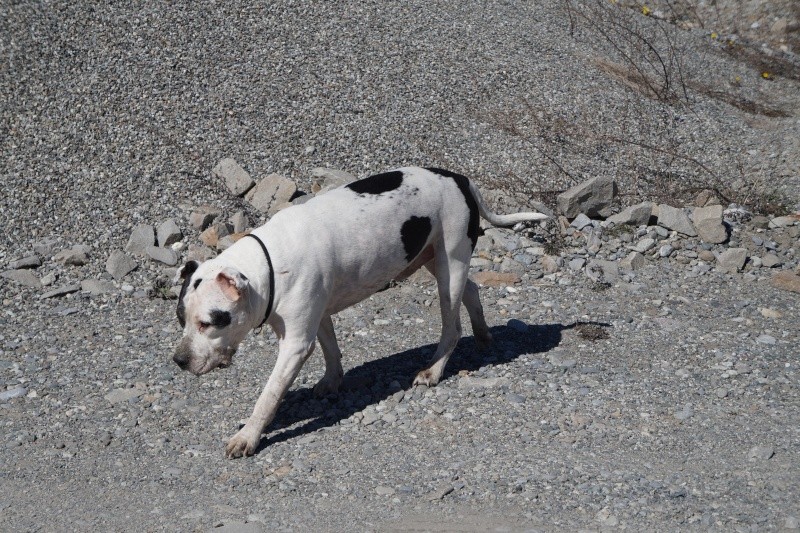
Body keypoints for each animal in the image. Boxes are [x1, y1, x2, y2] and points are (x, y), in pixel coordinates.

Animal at [172, 167, 548, 458]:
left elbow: (268, 396)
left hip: (449, 266)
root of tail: (459, 178)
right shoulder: (318, 315)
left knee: (452, 327)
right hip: (438, 263)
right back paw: (483, 336)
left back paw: (433, 370)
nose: (178, 361)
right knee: (471, 291)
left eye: (210, 322)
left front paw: (247, 436)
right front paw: (332, 382)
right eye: (180, 319)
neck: (268, 266)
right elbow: (331, 350)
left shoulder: (295, 343)